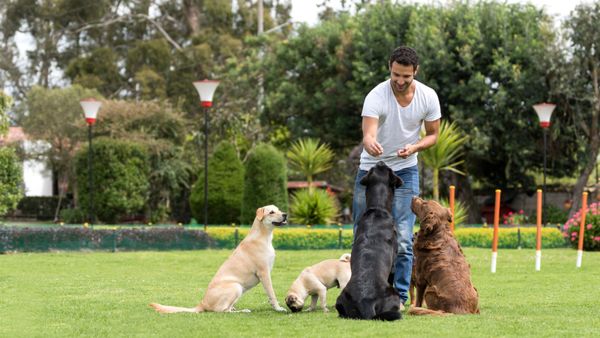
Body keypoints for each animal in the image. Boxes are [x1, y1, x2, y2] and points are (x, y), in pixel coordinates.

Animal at [152, 206, 288, 314]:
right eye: (271, 212)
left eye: (279, 209)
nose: (285, 214)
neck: (263, 236)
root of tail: (202, 303)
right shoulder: (264, 273)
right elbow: (272, 293)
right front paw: (278, 308)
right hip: (236, 286)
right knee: (223, 310)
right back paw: (242, 311)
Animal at [338, 161, 404, 320]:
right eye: (389, 169)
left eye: (374, 168)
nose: (381, 161)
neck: (377, 209)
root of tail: (365, 302)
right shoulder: (393, 265)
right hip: (393, 294)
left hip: (341, 298)